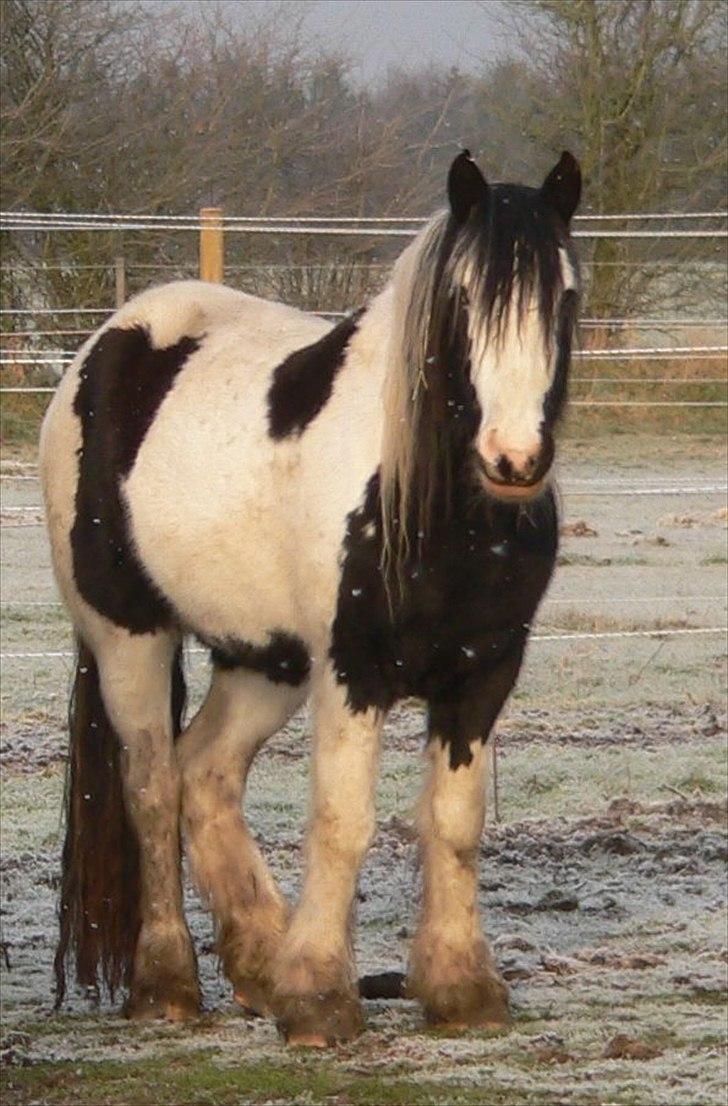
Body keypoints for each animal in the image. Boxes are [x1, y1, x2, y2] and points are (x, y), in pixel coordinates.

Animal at [41, 149, 579, 1044]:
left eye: (565, 295)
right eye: (465, 298)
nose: (514, 459)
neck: (428, 500)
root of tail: (105, 346)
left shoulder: (483, 672)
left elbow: (455, 822)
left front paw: (461, 989)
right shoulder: (352, 671)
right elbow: (342, 820)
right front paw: (324, 998)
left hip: (265, 660)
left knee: (206, 772)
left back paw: (263, 964)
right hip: (130, 640)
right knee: (152, 787)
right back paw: (168, 983)